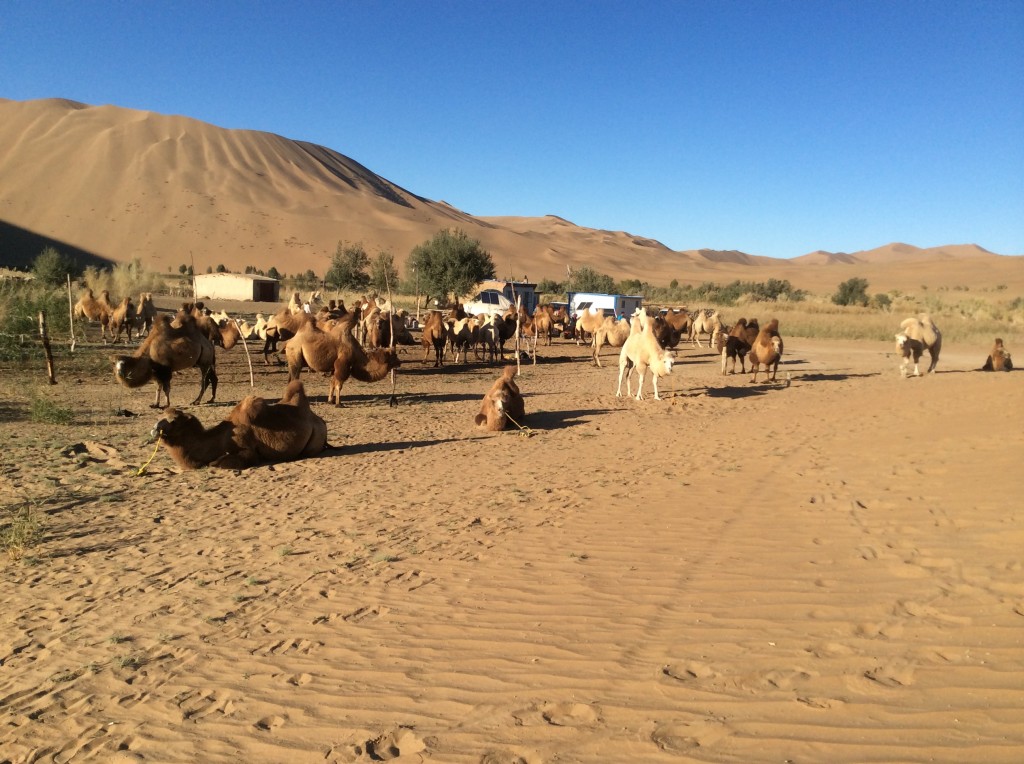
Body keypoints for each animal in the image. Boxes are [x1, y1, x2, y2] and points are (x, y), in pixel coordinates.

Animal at [152, 378, 327, 467]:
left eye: (174, 420)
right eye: (161, 416)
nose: (154, 429)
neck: (221, 439)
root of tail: (319, 420)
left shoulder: (246, 448)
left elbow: (218, 463)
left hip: (315, 439)